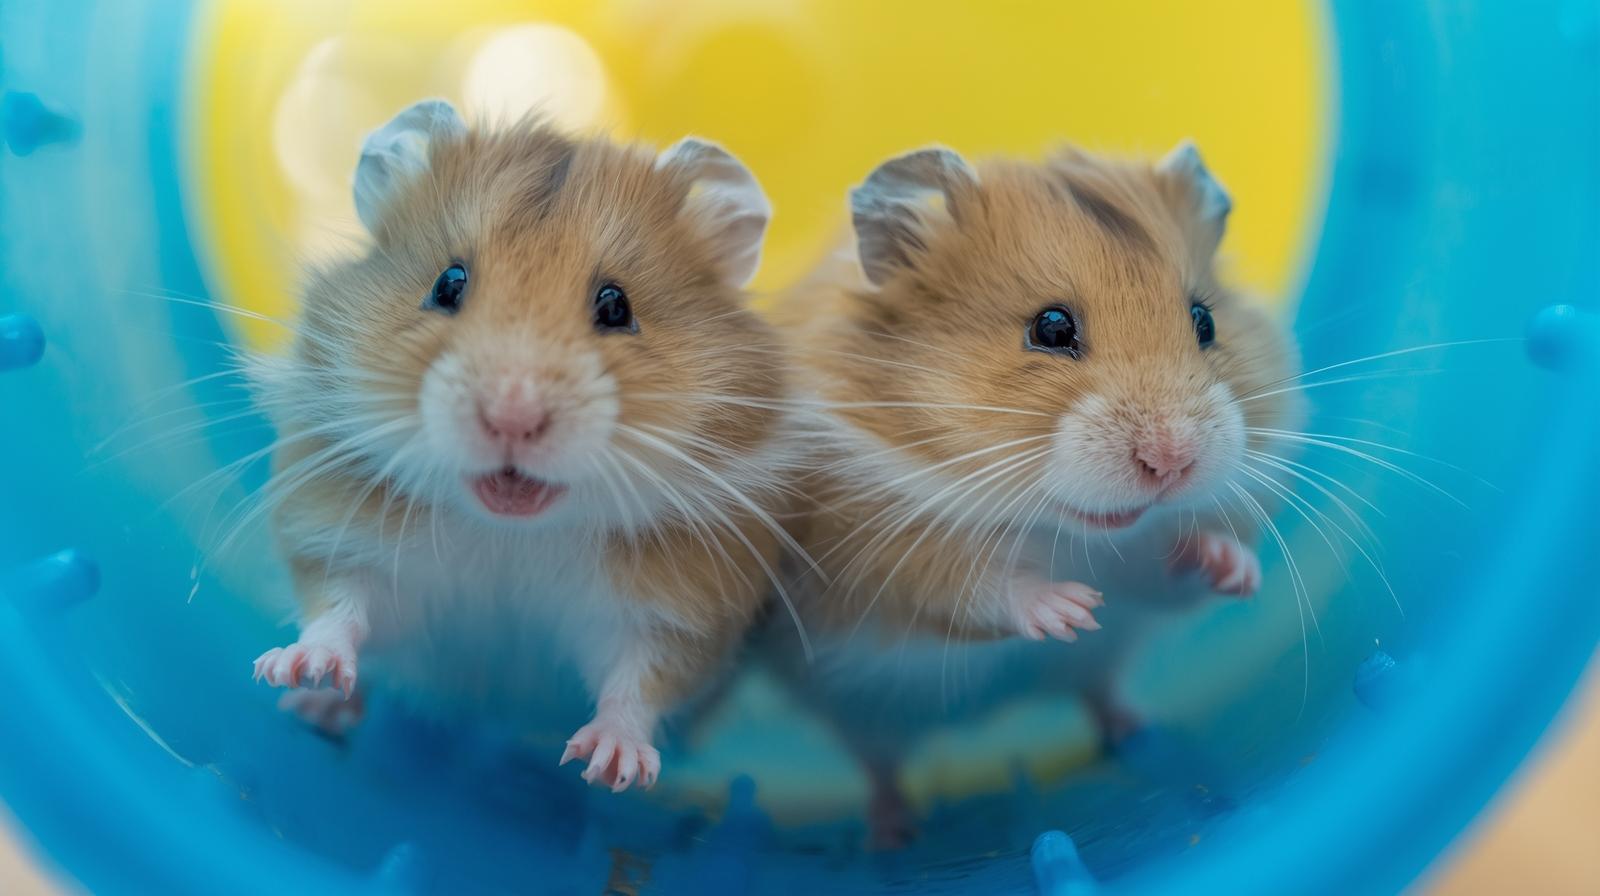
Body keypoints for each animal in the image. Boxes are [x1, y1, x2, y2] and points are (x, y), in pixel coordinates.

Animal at [249, 99, 794, 792]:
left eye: (616, 306)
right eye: (448, 284)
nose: (511, 418)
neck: (510, 535)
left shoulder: (677, 614)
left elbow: (638, 682)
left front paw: (609, 767)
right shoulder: (344, 542)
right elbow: (340, 608)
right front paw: (294, 670)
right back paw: (315, 708)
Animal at [769, 141, 1304, 844]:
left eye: (1205, 321)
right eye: (1050, 328)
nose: (1172, 462)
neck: (1070, 532)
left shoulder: (1143, 573)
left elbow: (1178, 575)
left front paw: (1230, 568)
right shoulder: (874, 555)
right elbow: (975, 587)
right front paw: (1071, 609)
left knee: (1097, 694)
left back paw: (1140, 735)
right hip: (857, 712)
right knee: (881, 765)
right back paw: (891, 836)